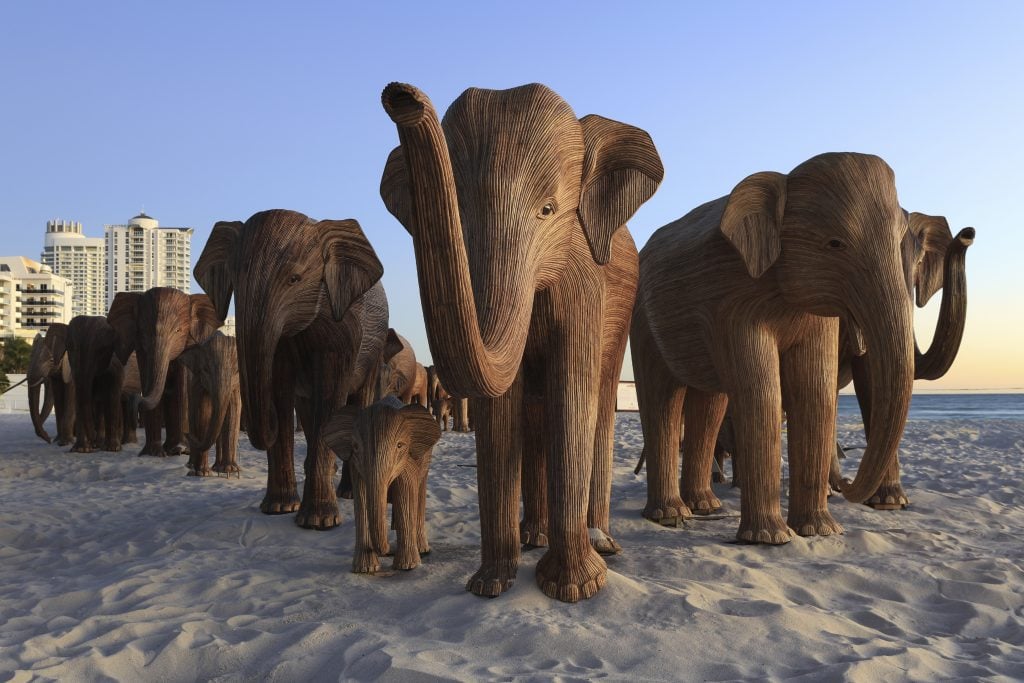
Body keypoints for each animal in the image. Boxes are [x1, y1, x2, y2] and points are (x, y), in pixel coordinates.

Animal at [108, 286, 220, 456]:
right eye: (144, 330)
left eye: (179, 331)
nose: (133, 398)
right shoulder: (141, 346)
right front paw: (152, 453)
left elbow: (182, 388)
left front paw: (182, 450)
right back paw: (168, 449)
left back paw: (177, 449)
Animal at [192, 208, 387, 528]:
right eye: (234, 280)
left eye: (295, 279)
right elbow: (281, 390)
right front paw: (278, 508)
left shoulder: (344, 328)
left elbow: (330, 398)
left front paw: (318, 522)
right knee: (306, 410)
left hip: (375, 352)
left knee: (358, 401)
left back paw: (347, 494)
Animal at [323, 397, 440, 573]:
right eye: (355, 447)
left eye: (400, 446)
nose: (387, 552)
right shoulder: (356, 465)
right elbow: (362, 499)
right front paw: (365, 569)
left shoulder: (408, 462)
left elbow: (405, 495)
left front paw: (407, 567)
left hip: (425, 461)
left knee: (419, 494)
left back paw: (422, 550)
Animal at [382, 82, 663, 602]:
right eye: (461, 212)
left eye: (548, 211)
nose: (401, 97)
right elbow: (501, 407)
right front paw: (489, 585)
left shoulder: (585, 281)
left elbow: (572, 393)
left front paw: (575, 588)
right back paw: (535, 536)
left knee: (597, 403)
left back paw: (602, 543)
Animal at [634, 153, 917, 544]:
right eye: (834, 244)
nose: (845, 485)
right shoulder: (733, 298)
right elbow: (762, 391)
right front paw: (770, 539)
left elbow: (815, 391)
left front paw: (819, 531)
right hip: (643, 318)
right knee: (662, 397)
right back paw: (670, 515)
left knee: (710, 404)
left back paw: (705, 506)